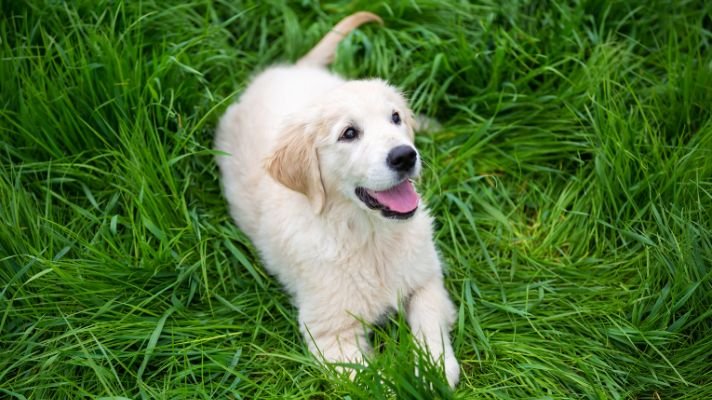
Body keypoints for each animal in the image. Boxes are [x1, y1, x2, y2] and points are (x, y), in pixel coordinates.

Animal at [217, 11, 458, 388]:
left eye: (394, 118)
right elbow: (374, 382)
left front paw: (435, 371)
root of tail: (286, 70)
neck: (369, 235)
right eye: (349, 133)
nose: (405, 155)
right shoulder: (331, 334)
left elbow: (429, 323)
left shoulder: (426, 280)